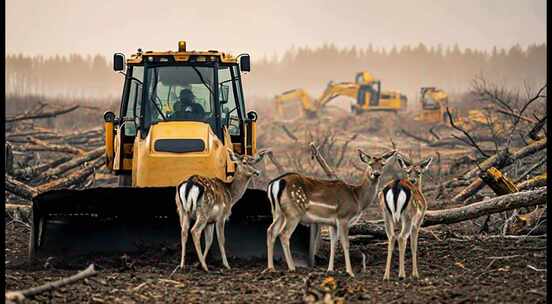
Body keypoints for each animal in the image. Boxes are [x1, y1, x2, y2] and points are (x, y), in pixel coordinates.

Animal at [266, 148, 394, 276]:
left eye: (383, 164)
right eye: (370, 164)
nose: (376, 174)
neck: (358, 199)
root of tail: (276, 183)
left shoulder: (333, 223)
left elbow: (333, 244)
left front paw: (330, 269)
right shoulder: (343, 216)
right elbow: (346, 244)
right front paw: (350, 272)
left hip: (278, 212)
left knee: (271, 230)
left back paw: (271, 268)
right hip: (294, 212)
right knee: (284, 234)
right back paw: (292, 267)